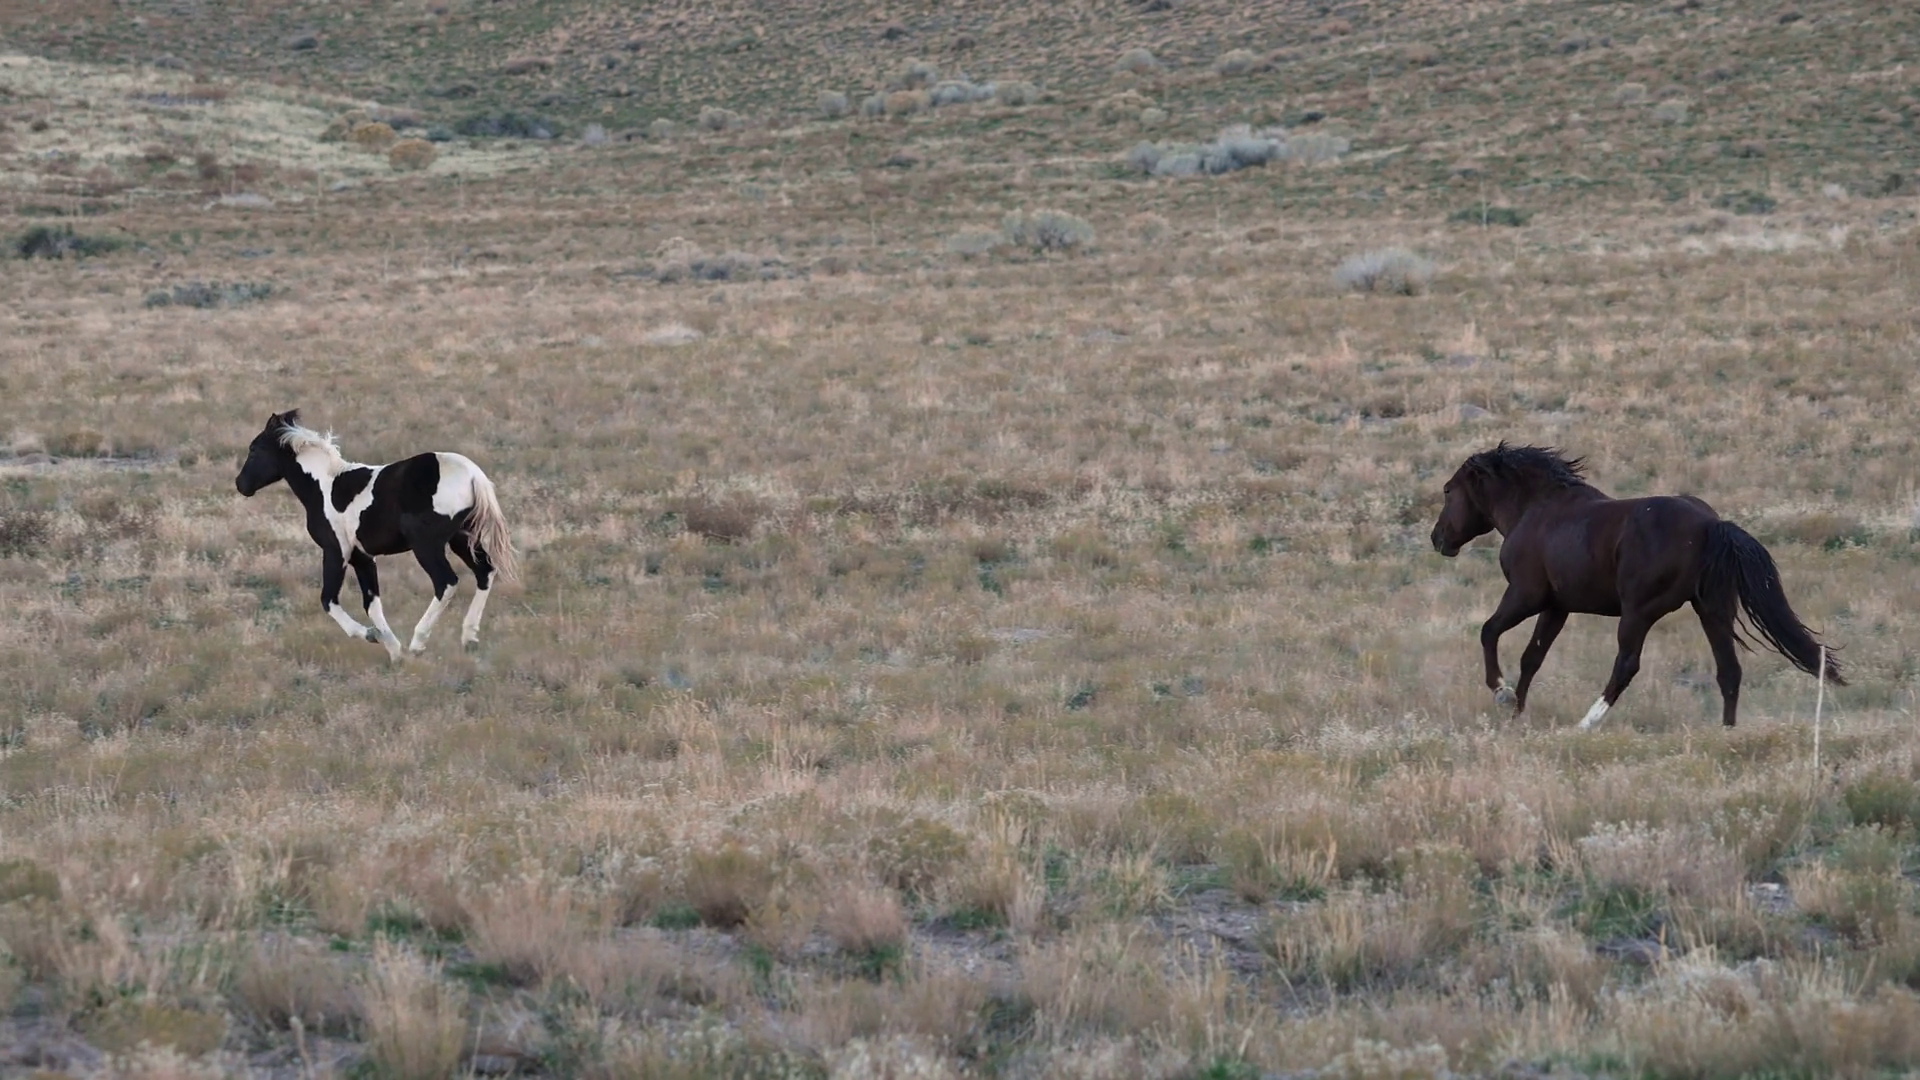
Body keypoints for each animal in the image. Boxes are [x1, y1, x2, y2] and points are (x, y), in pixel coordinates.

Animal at [235, 411, 519, 661]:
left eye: (254, 449)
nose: (241, 484)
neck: (325, 487)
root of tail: (473, 475)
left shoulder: (336, 551)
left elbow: (329, 600)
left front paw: (372, 636)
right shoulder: (362, 557)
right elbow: (371, 602)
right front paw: (393, 651)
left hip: (427, 546)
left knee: (447, 582)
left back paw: (418, 642)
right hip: (462, 538)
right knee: (485, 572)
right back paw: (469, 638)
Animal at [1429, 443, 1841, 729]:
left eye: (1448, 490)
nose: (1438, 539)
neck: (1535, 510)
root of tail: (1711, 525)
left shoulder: (1525, 594)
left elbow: (1489, 631)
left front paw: (1501, 693)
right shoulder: (1556, 607)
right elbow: (1532, 657)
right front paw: (1516, 715)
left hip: (1638, 612)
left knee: (1627, 665)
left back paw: (1585, 723)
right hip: (1712, 610)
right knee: (1729, 670)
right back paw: (1727, 732)